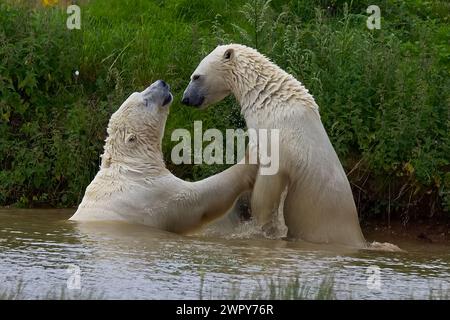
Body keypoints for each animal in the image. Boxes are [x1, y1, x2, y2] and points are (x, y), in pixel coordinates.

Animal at [70, 80, 256, 234]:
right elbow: (198, 198)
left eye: (139, 92)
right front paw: (251, 157)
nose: (162, 82)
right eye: (145, 102)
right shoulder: (151, 192)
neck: (131, 163)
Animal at [181, 43, 368, 248]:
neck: (272, 101)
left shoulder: (281, 141)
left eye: (196, 76)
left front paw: (265, 228)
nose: (185, 99)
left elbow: (266, 190)